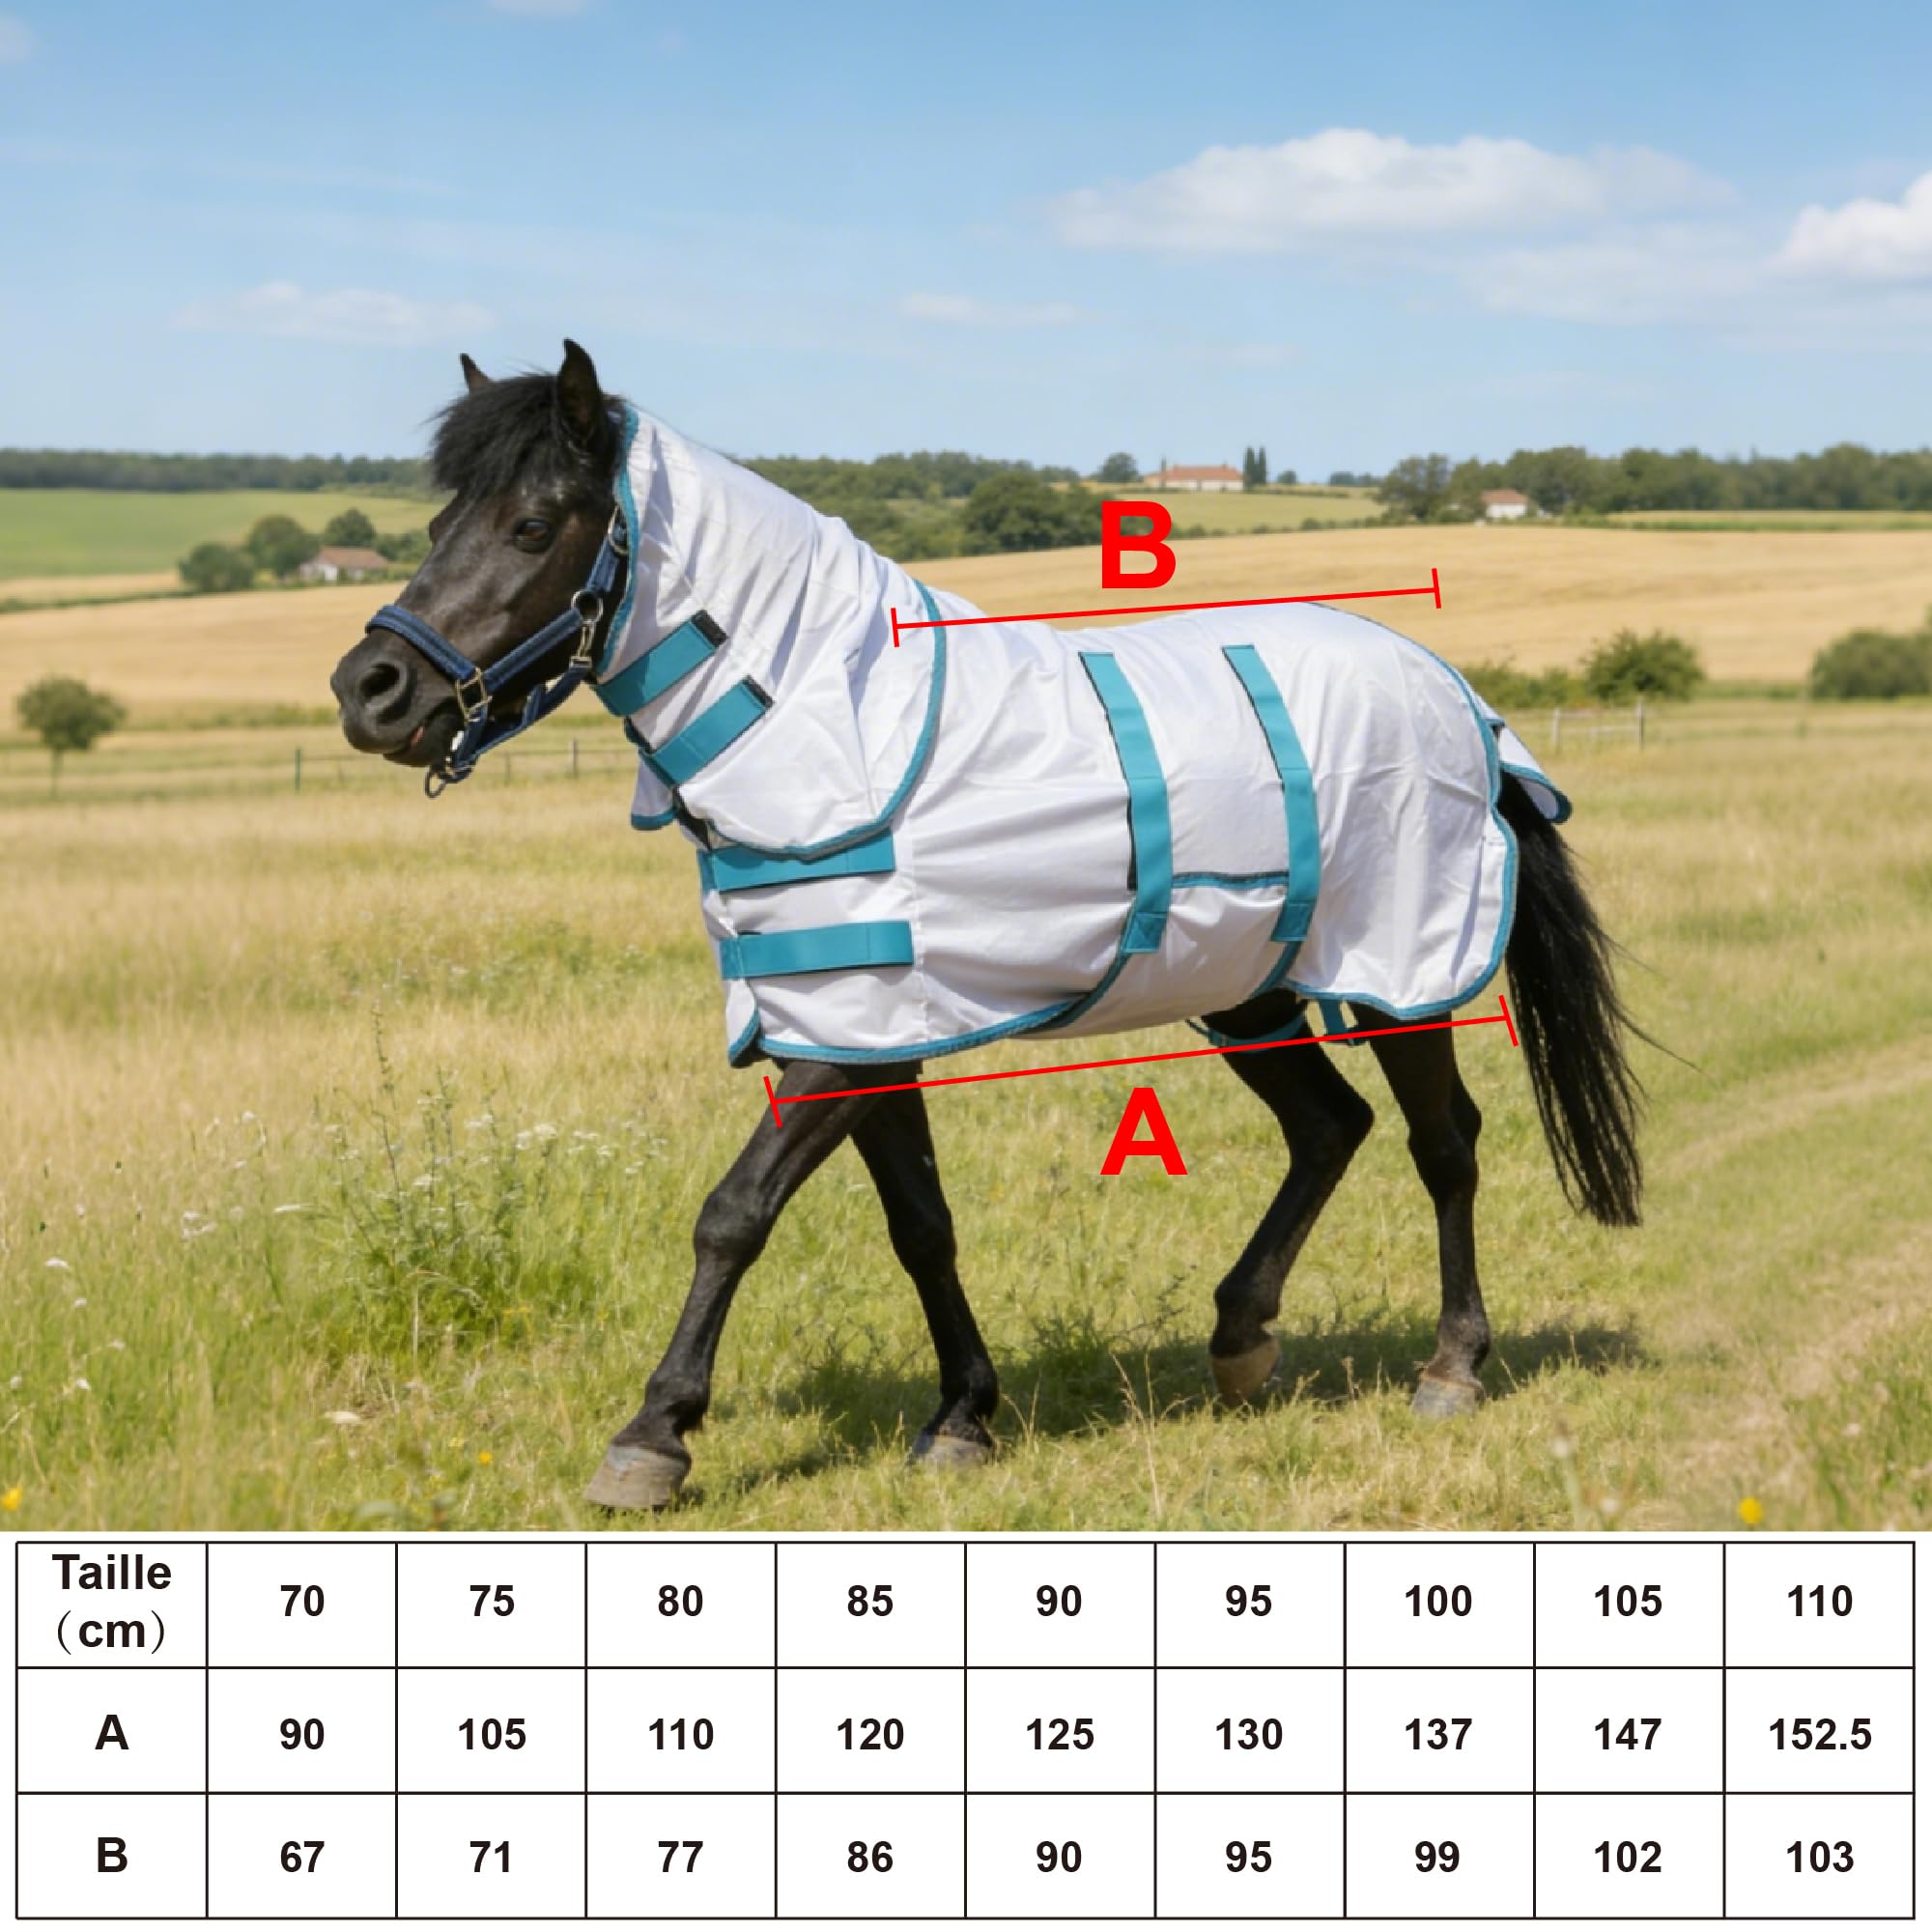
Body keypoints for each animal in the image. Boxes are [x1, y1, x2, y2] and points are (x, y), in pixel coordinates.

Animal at [330, 341, 1643, 1510]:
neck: (831, 726)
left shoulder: (839, 1040)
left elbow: (732, 1216)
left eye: (532, 525)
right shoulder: (860, 1027)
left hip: (1396, 970)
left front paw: (654, 1435)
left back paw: (1449, 1366)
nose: (368, 691)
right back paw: (1238, 1338)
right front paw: (961, 1415)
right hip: (1242, 981)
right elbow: (922, 1226)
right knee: (1329, 1126)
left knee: (1442, 1142)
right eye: (440, 521)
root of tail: (1449, 690)